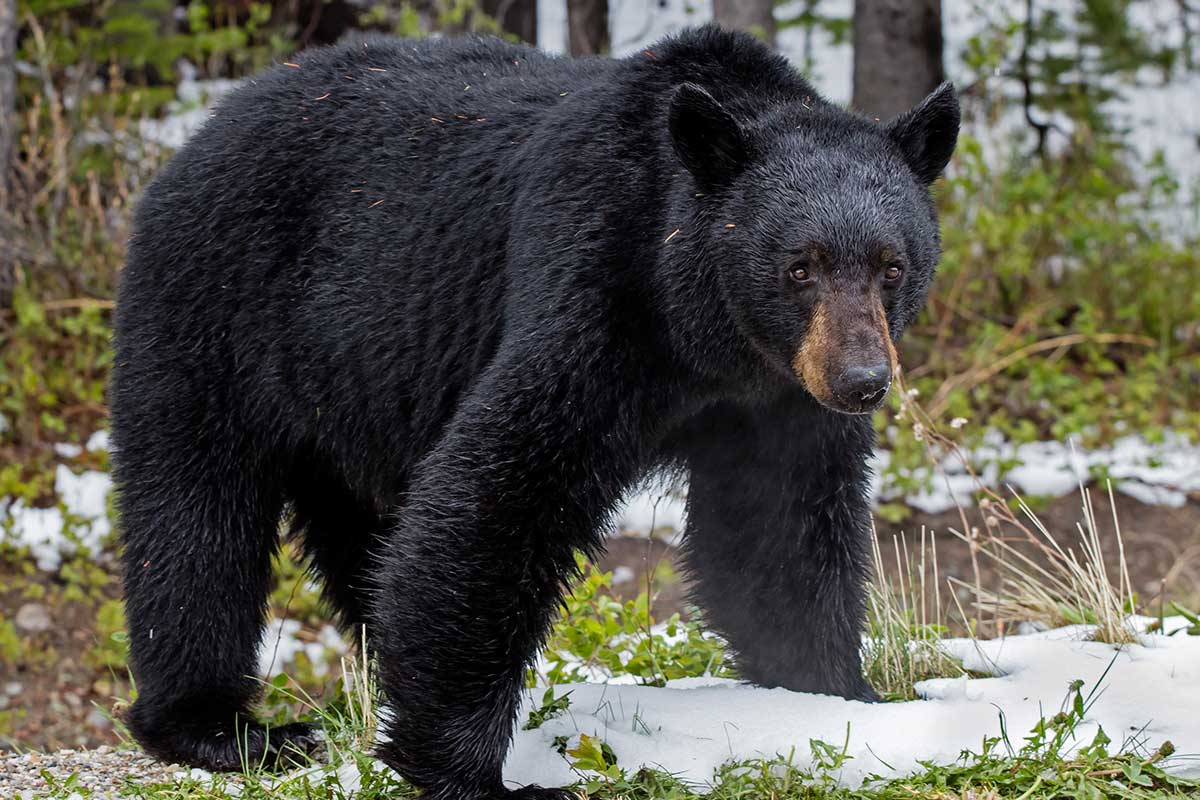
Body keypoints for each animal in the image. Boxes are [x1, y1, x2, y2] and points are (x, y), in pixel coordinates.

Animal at [112, 25, 955, 800]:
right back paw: (221, 727)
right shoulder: (594, 289)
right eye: (798, 267)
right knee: (195, 519)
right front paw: (474, 772)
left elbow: (782, 533)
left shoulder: (776, 402)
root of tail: (204, 128)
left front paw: (838, 695)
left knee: (366, 533)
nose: (860, 380)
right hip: (215, 307)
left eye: (892, 266)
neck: (705, 337)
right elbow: (499, 495)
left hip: (352, 393)